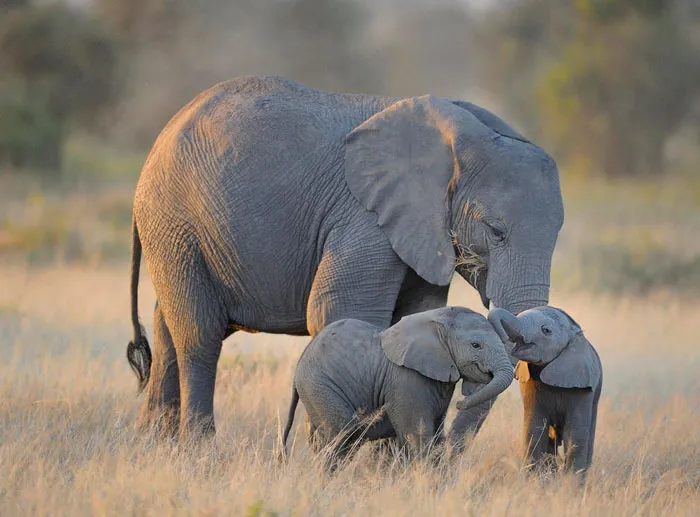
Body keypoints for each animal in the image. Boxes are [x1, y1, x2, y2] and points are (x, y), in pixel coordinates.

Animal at [126, 75, 564, 438]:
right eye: (496, 231)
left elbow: (414, 316)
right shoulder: (363, 218)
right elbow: (339, 311)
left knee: (168, 328)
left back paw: (155, 447)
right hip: (175, 222)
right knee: (199, 335)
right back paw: (199, 450)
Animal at [280, 307, 514, 469]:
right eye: (476, 345)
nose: (460, 403)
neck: (438, 320)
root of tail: (300, 362)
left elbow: (436, 436)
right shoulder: (407, 380)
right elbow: (418, 436)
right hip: (321, 386)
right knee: (342, 437)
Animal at [487, 306, 602, 475]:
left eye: (546, 330)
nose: (503, 338)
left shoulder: (582, 386)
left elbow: (575, 434)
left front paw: (570, 482)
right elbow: (534, 429)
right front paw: (535, 479)